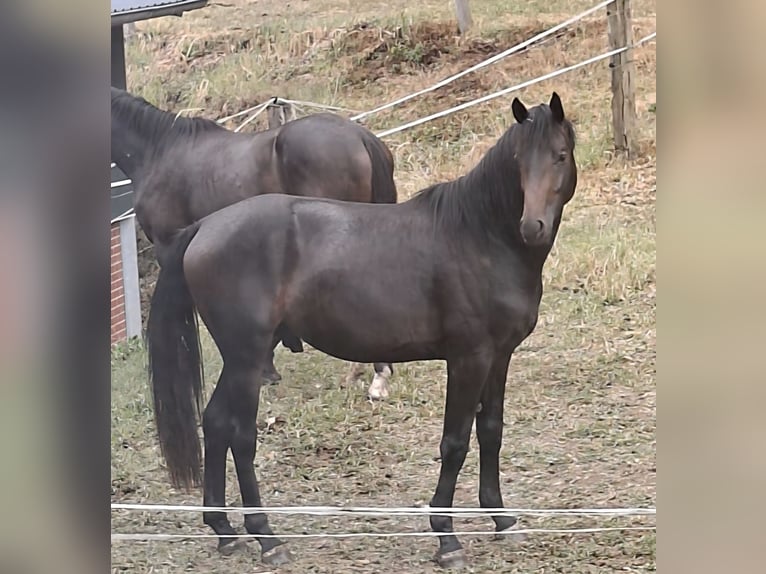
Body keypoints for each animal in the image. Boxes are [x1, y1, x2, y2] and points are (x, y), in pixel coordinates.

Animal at [146, 93, 577, 568]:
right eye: (519, 160)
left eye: (560, 155)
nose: (532, 227)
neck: (480, 238)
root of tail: (204, 227)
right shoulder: (468, 359)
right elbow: (455, 442)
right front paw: (446, 538)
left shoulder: (499, 356)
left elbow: (491, 432)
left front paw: (501, 519)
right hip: (246, 359)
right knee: (240, 435)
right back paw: (266, 536)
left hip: (243, 358)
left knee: (216, 422)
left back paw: (224, 529)